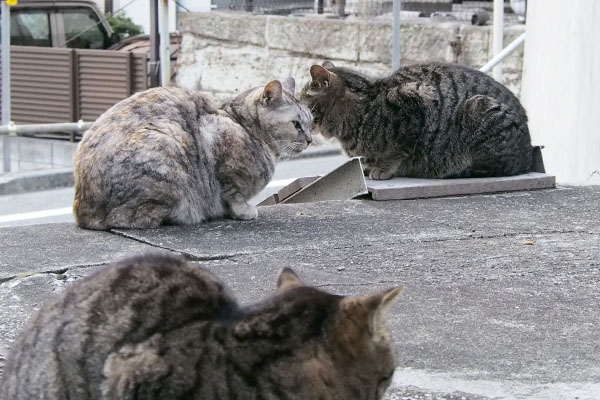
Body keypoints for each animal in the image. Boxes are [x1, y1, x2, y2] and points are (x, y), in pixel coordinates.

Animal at [72, 78, 312, 230]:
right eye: (296, 124)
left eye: (310, 122)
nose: (310, 139)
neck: (243, 126)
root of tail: (82, 210)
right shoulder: (225, 163)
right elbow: (233, 196)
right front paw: (244, 211)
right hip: (167, 149)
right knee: (127, 217)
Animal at [300, 61, 536, 180]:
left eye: (301, 98)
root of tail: (527, 154)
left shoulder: (417, 101)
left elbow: (397, 152)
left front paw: (382, 168)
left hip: (479, 108)